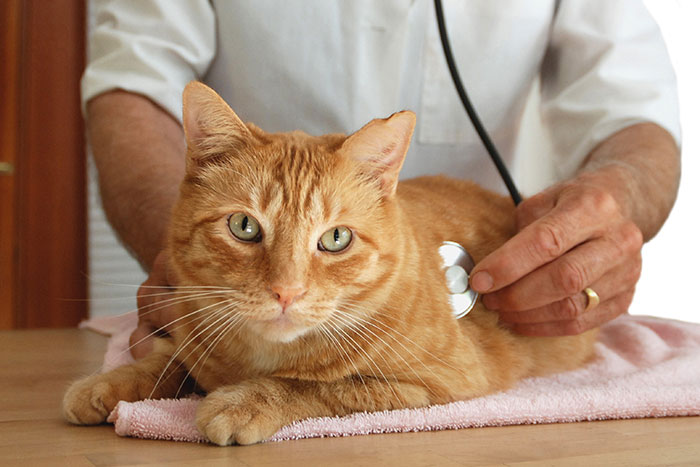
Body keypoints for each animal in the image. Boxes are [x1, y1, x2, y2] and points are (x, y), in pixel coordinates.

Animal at [63, 83, 596, 446]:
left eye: (335, 238)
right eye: (244, 226)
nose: (286, 291)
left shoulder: (434, 385)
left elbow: (318, 387)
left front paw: (244, 400)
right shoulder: (196, 331)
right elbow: (168, 359)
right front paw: (109, 382)